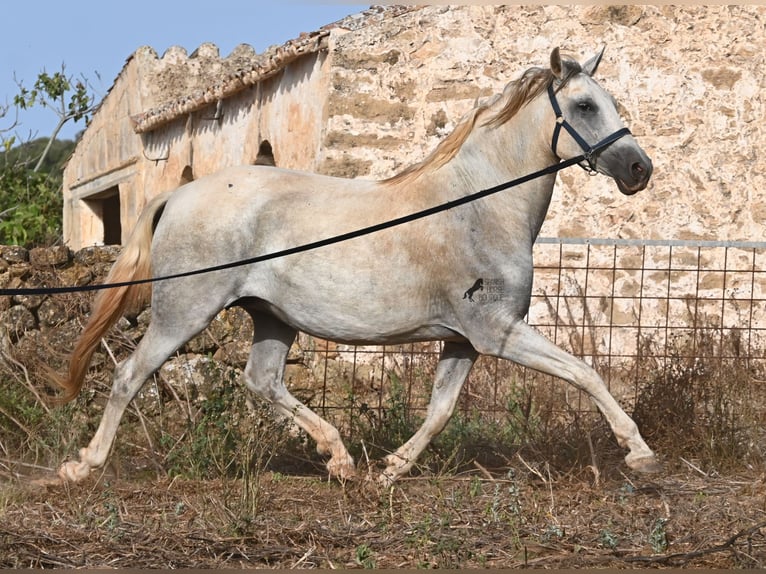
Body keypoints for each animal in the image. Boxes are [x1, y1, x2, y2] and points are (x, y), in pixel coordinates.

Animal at [56, 47, 659, 485]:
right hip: (185, 311)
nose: (639, 169)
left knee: (263, 381)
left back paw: (341, 459)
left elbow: (440, 409)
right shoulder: (498, 331)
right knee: (130, 375)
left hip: (271, 317)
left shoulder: (463, 339)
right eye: (584, 106)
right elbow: (585, 373)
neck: (477, 205)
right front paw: (639, 451)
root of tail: (178, 195)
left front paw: (391, 470)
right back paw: (83, 466)